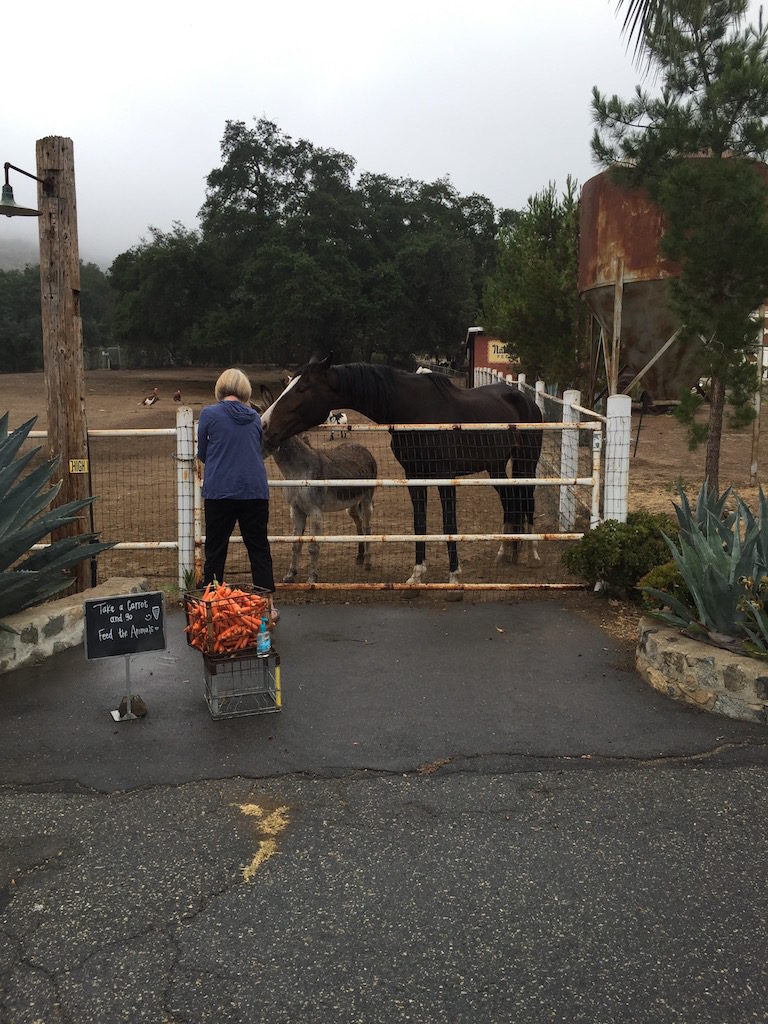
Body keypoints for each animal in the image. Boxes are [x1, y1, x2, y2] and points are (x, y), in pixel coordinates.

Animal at [262, 358, 544, 585]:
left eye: (302, 388)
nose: (265, 424)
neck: (415, 411)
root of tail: (527, 400)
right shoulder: (414, 476)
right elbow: (419, 523)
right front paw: (417, 573)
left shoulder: (445, 477)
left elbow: (448, 523)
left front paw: (454, 575)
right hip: (495, 466)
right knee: (511, 500)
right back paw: (507, 552)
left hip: (526, 462)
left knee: (527, 499)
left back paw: (531, 552)